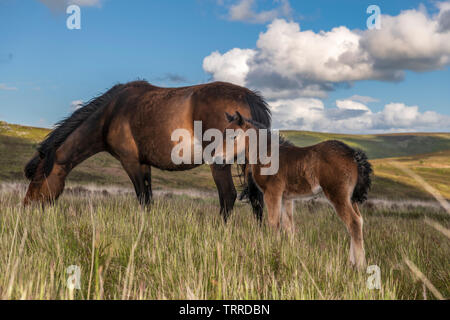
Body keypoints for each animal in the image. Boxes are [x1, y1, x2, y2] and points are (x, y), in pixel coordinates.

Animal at [22, 80, 270, 221]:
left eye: (37, 179)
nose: (26, 210)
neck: (109, 115)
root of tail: (248, 96)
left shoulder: (130, 162)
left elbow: (142, 198)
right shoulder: (144, 163)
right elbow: (148, 199)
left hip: (219, 163)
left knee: (228, 196)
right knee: (257, 198)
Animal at [219, 111, 372, 268]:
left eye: (233, 136)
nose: (219, 158)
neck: (267, 153)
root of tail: (353, 155)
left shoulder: (272, 193)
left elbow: (274, 223)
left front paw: (273, 252)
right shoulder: (286, 197)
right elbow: (288, 226)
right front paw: (290, 254)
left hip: (338, 195)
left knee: (353, 222)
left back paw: (360, 266)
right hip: (350, 198)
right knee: (359, 220)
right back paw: (353, 262)